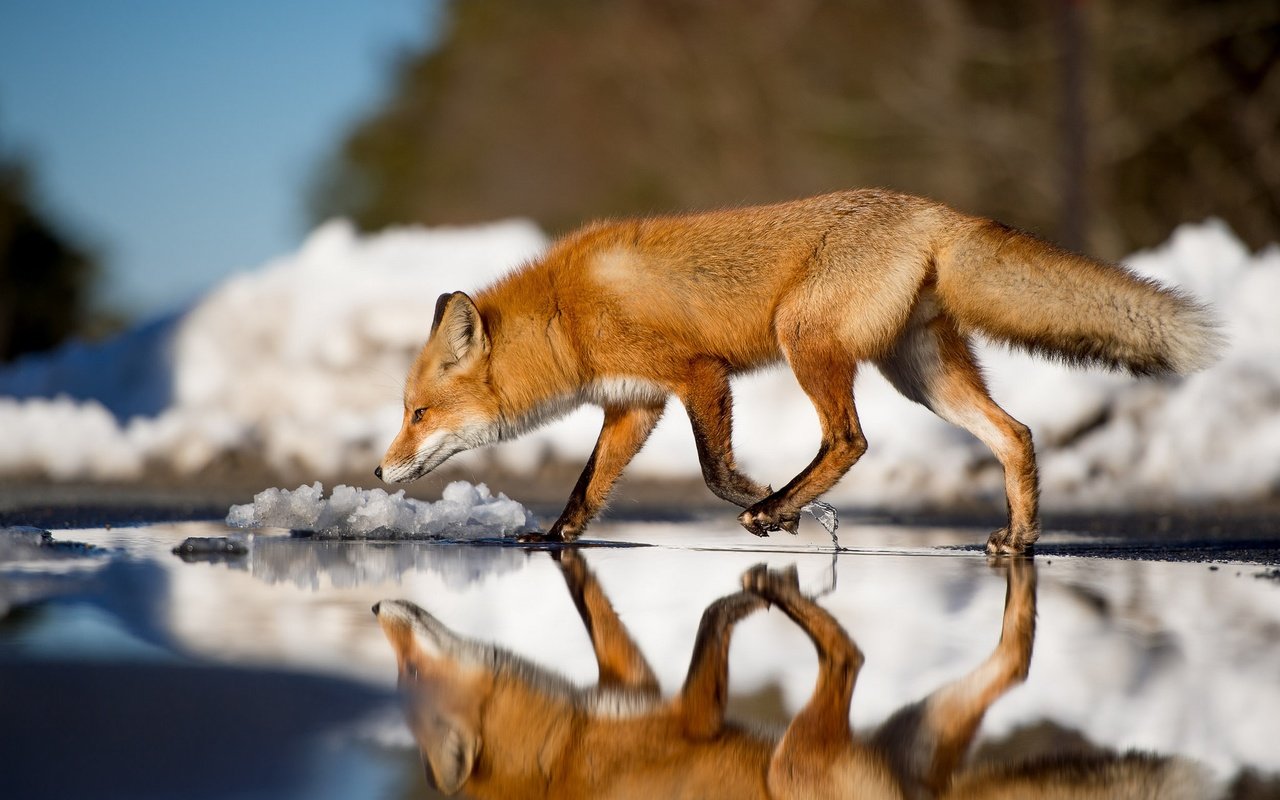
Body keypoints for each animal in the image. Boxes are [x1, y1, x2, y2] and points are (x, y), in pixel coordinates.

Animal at [373, 190, 1218, 552]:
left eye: (417, 413)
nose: (379, 472)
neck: (564, 313)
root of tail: (933, 210)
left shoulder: (698, 374)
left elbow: (716, 472)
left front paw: (766, 498)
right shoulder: (634, 406)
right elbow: (586, 490)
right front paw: (552, 539)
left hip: (805, 340)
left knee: (850, 440)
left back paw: (778, 509)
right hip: (921, 375)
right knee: (1015, 434)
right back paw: (1020, 539)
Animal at [373, 552, 1208, 793]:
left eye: (408, 670)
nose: (378, 604)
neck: (561, 759)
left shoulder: (685, 715)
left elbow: (711, 643)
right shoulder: (634, 686)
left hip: (796, 768)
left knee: (850, 658)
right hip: (907, 737)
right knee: (1003, 669)